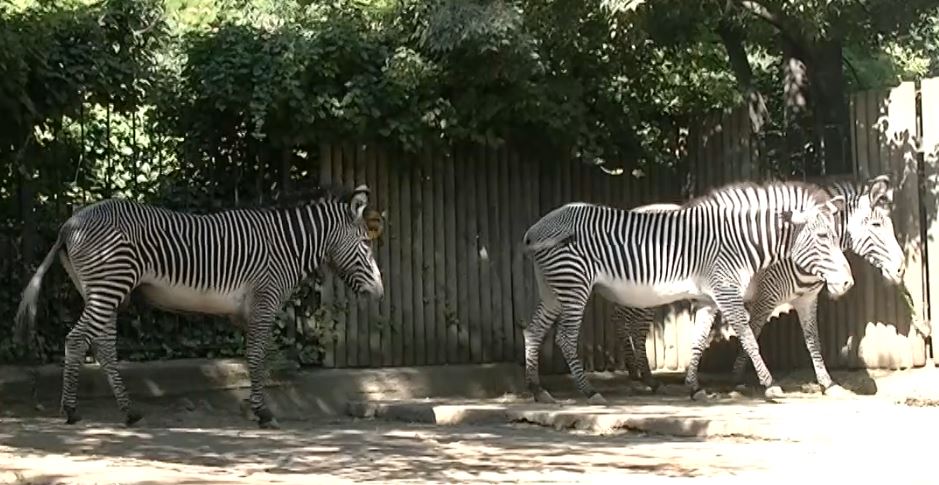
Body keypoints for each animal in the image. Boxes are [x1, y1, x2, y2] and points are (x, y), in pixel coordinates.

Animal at [14, 184, 385, 429]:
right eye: (366, 244)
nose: (380, 292)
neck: (285, 247)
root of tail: (70, 223)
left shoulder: (245, 312)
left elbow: (255, 357)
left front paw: (255, 406)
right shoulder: (263, 301)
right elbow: (257, 356)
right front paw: (263, 413)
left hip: (101, 289)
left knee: (103, 345)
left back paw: (129, 411)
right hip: (109, 285)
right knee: (77, 340)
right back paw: (70, 410)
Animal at [521, 180, 854, 405]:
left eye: (837, 236)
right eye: (822, 236)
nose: (848, 283)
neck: (742, 241)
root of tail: (536, 228)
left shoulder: (709, 298)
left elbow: (699, 340)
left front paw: (694, 387)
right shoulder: (728, 292)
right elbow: (748, 336)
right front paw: (769, 384)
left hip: (552, 288)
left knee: (534, 331)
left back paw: (538, 388)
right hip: (574, 284)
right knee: (566, 337)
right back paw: (589, 391)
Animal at [615, 174, 903, 399]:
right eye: (876, 224)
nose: (900, 268)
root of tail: (638, 209)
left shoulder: (806, 299)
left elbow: (813, 341)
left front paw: (828, 384)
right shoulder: (766, 296)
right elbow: (752, 332)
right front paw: (741, 379)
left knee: (625, 320)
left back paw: (636, 372)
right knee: (635, 327)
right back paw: (645, 377)